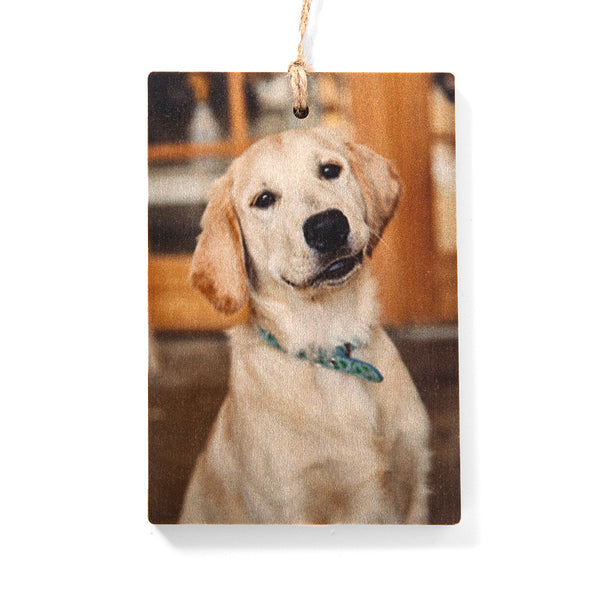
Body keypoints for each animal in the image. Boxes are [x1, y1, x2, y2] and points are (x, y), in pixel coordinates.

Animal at [179, 128, 431, 524]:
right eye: (264, 199)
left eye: (330, 170)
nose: (327, 225)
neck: (328, 344)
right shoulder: (290, 504)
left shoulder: (414, 486)